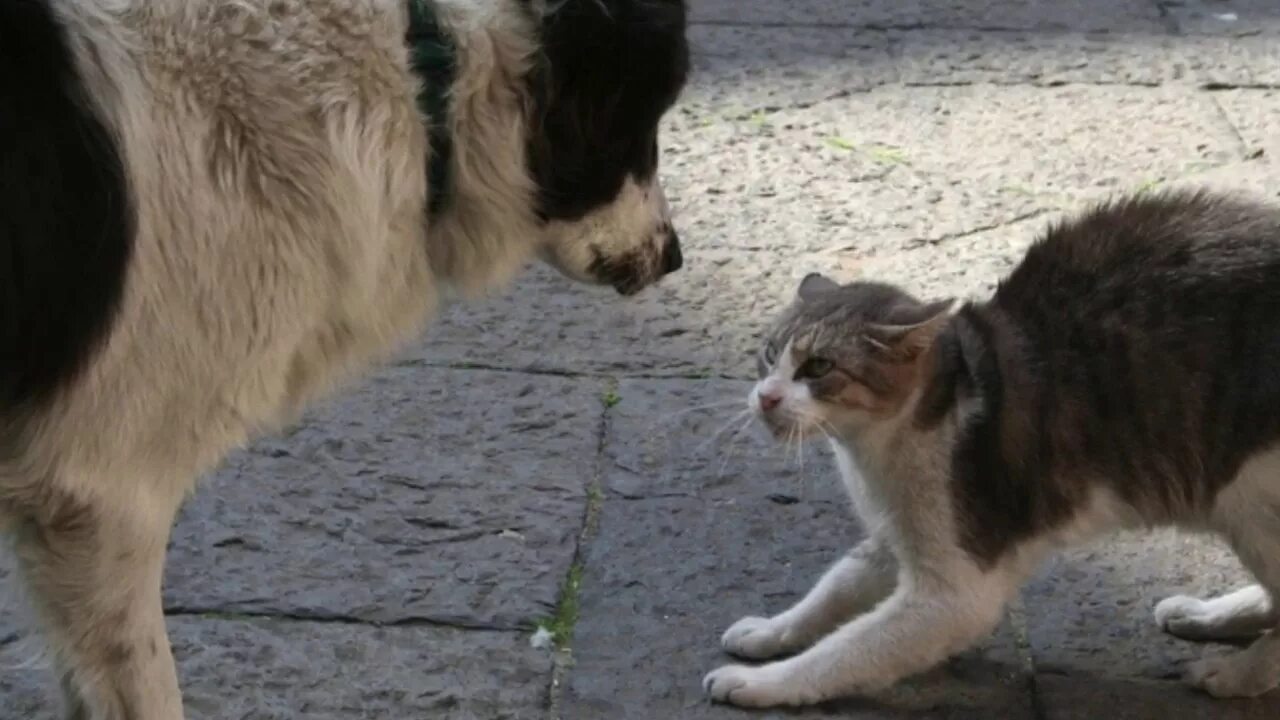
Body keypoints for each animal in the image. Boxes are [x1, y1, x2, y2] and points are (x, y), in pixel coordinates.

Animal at [706, 188, 1280, 702]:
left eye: (818, 367)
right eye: (769, 353)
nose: (766, 397)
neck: (875, 450)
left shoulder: (956, 590)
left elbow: (845, 651)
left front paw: (762, 683)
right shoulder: (894, 538)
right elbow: (835, 590)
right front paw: (770, 631)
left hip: (1249, 498)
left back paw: (1236, 674)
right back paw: (1210, 615)